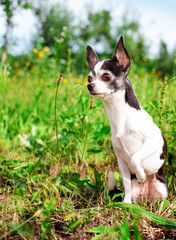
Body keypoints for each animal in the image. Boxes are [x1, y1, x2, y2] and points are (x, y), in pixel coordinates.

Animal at [86, 35, 168, 202]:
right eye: (89, 78)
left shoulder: (153, 141)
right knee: (131, 191)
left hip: (162, 189)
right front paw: (125, 204)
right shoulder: (121, 162)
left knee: (162, 200)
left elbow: (134, 158)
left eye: (106, 76)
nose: (89, 86)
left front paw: (141, 174)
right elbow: (125, 184)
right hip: (137, 190)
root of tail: (146, 195)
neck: (120, 115)